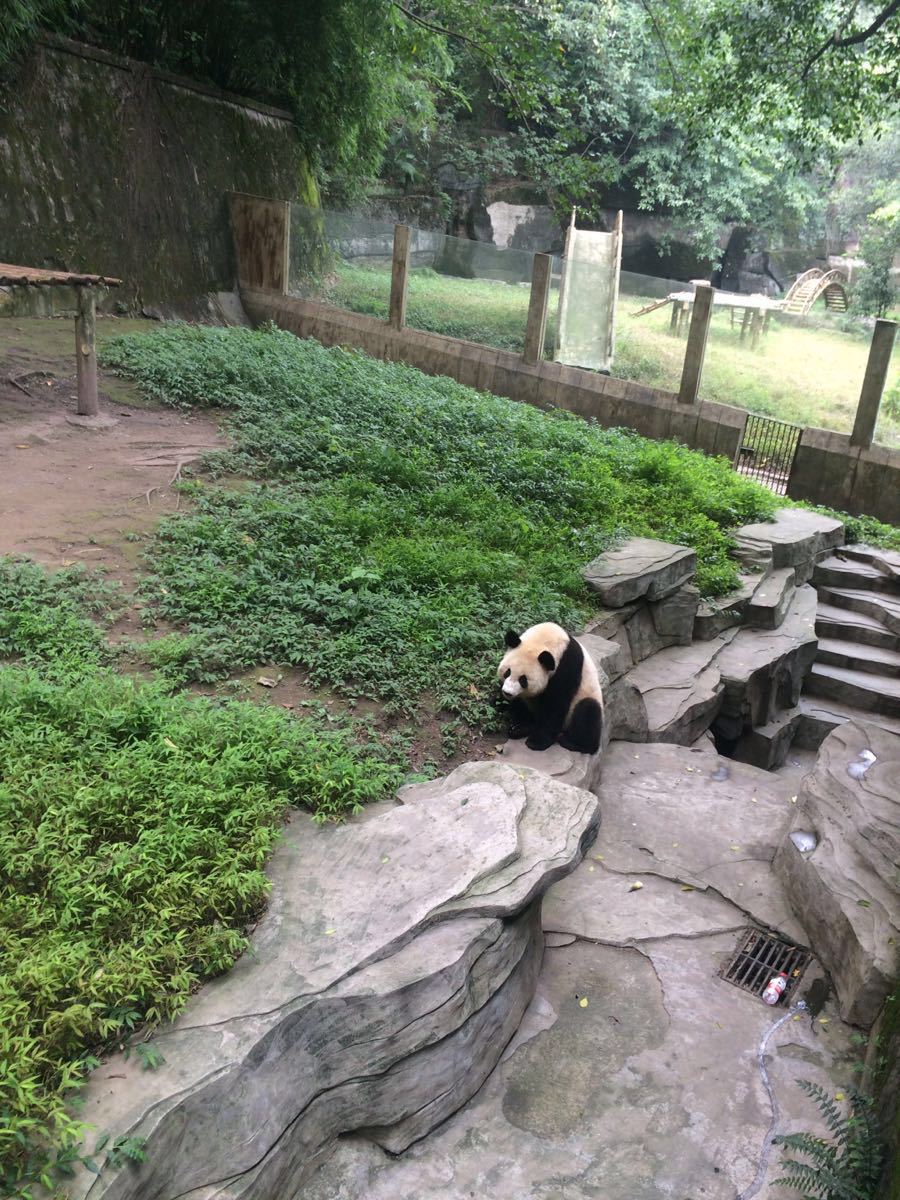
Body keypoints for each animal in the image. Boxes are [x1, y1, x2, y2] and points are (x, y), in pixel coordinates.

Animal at [501, 624, 607, 753]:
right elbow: (520, 703)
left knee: (588, 711)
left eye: (523, 680)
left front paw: (536, 742)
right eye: (507, 672)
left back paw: (572, 742)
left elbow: (556, 704)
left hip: (584, 701)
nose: (507, 692)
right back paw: (521, 729)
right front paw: (519, 726)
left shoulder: (567, 667)